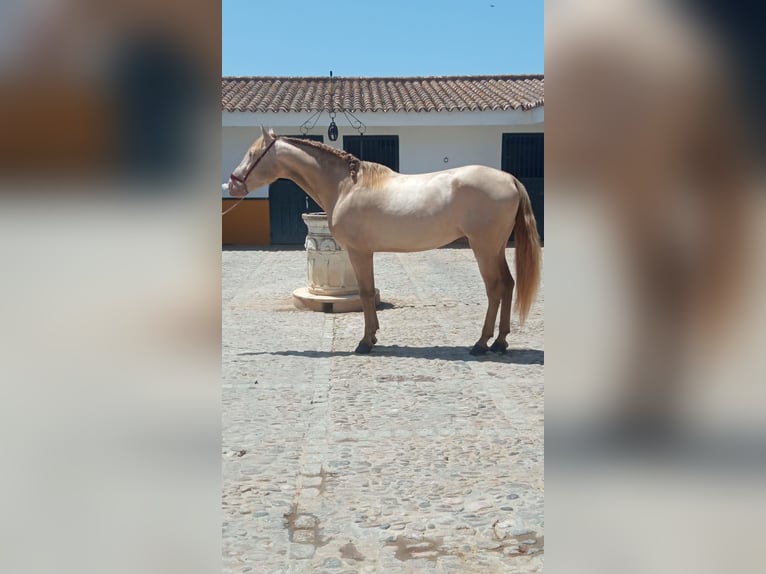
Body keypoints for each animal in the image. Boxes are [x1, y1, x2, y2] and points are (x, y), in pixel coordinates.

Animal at [230, 128, 544, 356]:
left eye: (252, 154)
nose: (233, 184)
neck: (346, 186)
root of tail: (509, 179)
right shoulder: (365, 252)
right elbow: (368, 293)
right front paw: (373, 336)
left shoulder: (358, 251)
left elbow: (367, 294)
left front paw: (365, 342)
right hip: (495, 248)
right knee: (508, 285)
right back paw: (500, 343)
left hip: (484, 248)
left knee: (495, 288)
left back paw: (481, 344)